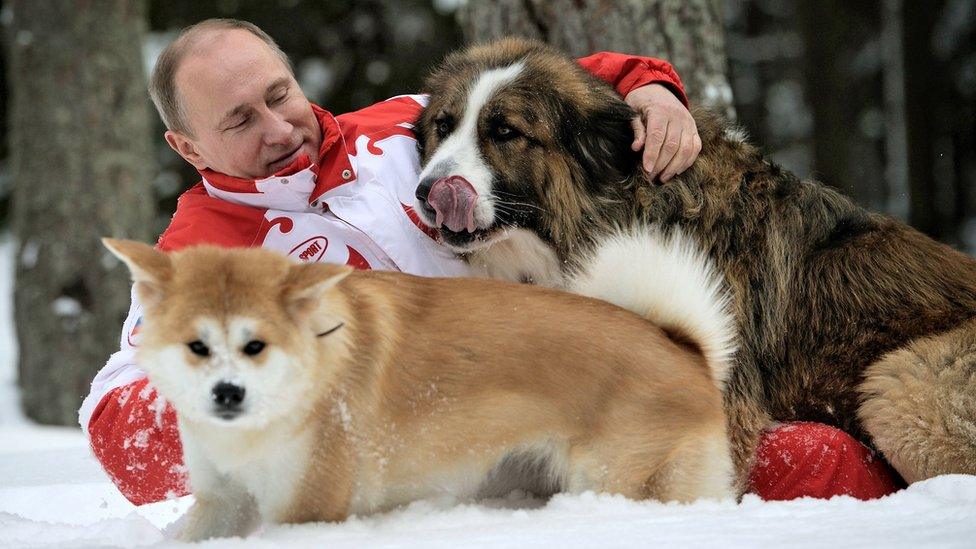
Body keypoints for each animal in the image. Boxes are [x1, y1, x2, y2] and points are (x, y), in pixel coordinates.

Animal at [105, 238, 732, 536]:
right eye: (197, 346)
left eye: (255, 345)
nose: (227, 395)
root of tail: (685, 349)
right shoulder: (224, 502)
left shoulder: (307, 509)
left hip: (611, 479)